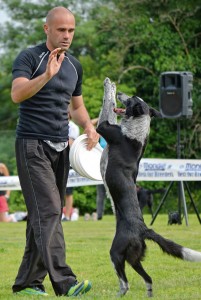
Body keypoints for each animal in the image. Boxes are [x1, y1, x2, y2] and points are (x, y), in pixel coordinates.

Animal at [96, 77, 201, 298]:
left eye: (131, 99)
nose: (122, 93)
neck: (136, 130)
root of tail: (144, 229)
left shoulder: (103, 127)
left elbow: (107, 104)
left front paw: (110, 86)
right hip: (134, 258)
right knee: (148, 278)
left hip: (116, 253)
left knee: (125, 282)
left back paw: (119, 294)